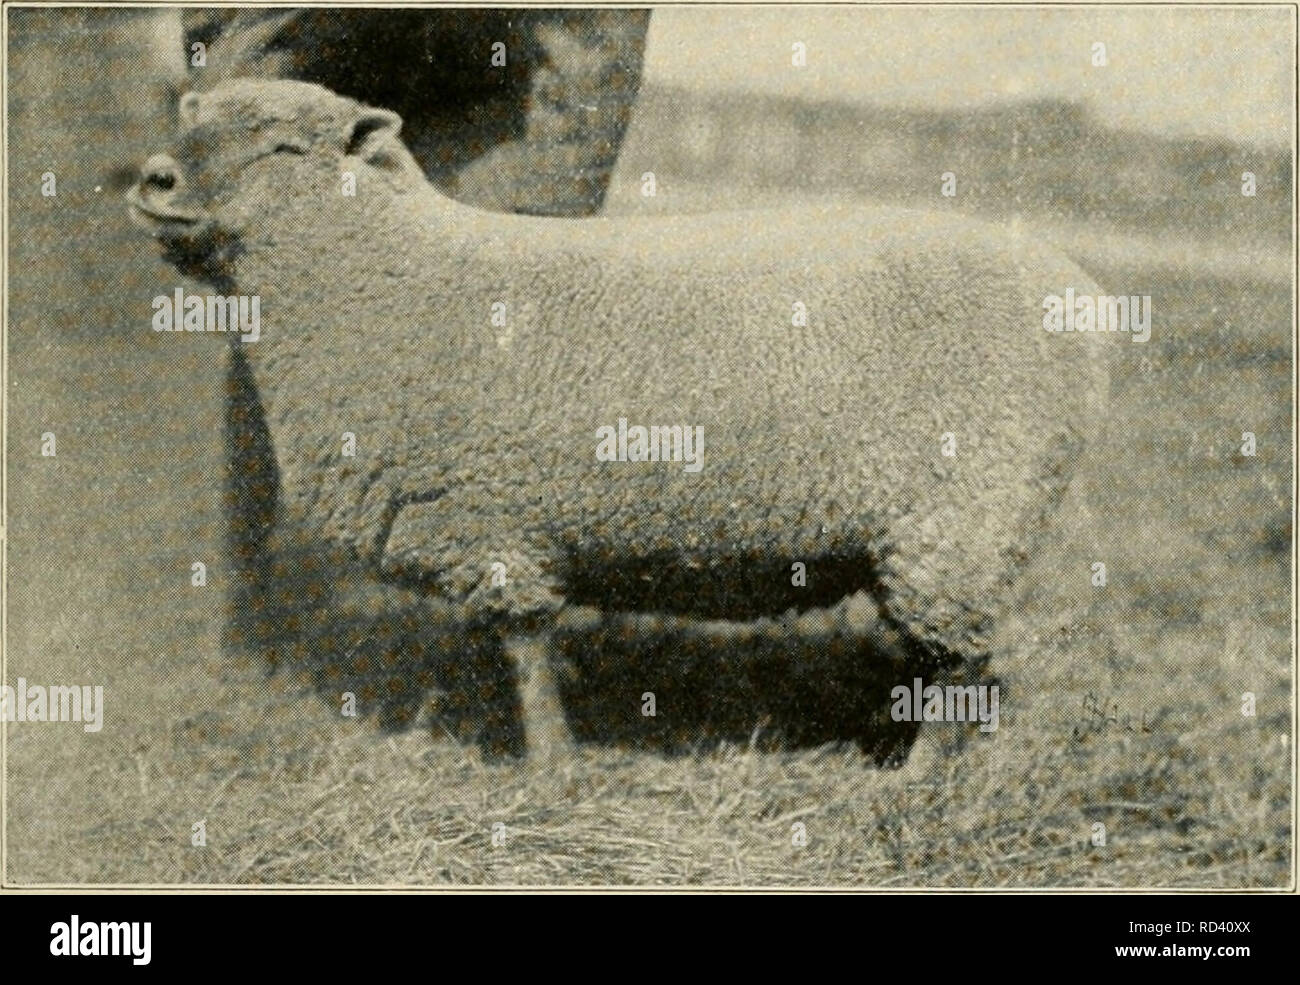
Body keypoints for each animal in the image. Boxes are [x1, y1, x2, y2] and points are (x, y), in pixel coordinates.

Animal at [130, 79, 1112, 764]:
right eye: (191, 116)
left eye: (282, 144)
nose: (154, 177)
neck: (392, 275)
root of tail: (1082, 290)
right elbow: (498, 649)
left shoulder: (499, 521)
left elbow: (526, 649)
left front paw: (553, 770)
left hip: (966, 515)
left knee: (965, 664)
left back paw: (922, 782)